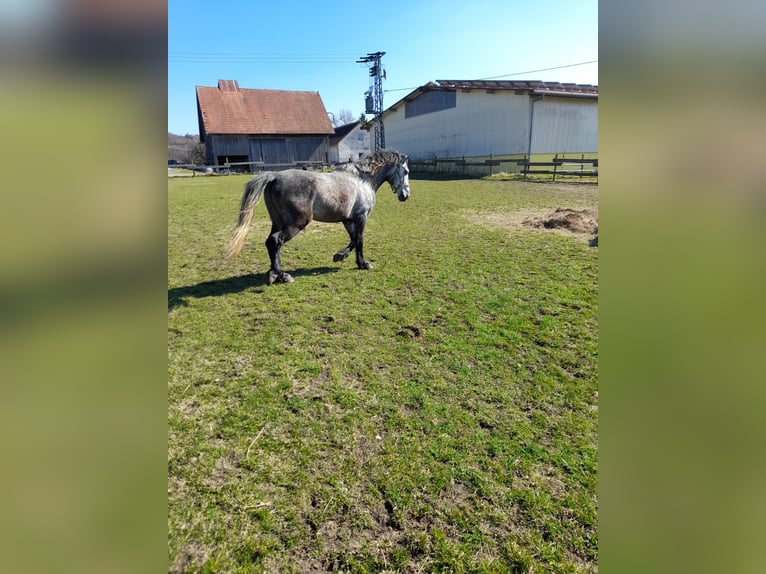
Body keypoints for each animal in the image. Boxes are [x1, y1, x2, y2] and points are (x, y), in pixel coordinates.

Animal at [227, 149, 411, 285]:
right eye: (406, 171)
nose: (405, 195)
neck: (362, 180)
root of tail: (274, 176)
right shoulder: (361, 217)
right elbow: (359, 240)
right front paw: (363, 264)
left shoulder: (348, 220)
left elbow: (352, 239)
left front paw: (340, 256)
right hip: (297, 223)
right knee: (275, 241)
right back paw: (281, 275)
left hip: (278, 222)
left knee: (271, 243)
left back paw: (275, 274)